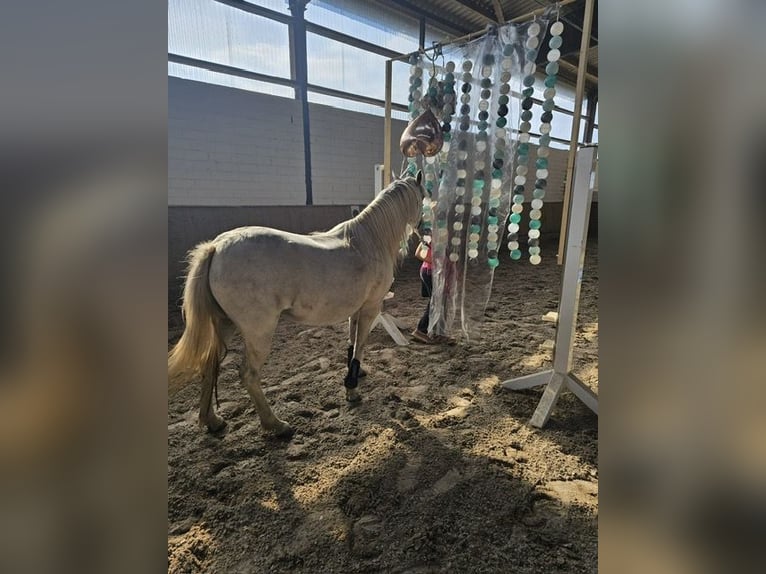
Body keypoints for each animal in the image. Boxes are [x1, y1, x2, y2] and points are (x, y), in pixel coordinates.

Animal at [167, 173, 426, 438]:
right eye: (424, 197)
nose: (426, 231)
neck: (369, 240)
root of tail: (217, 246)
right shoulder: (371, 308)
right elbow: (359, 346)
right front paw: (352, 390)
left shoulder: (356, 310)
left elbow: (352, 344)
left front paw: (355, 376)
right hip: (258, 332)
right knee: (248, 375)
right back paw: (276, 425)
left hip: (224, 325)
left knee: (209, 366)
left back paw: (212, 421)